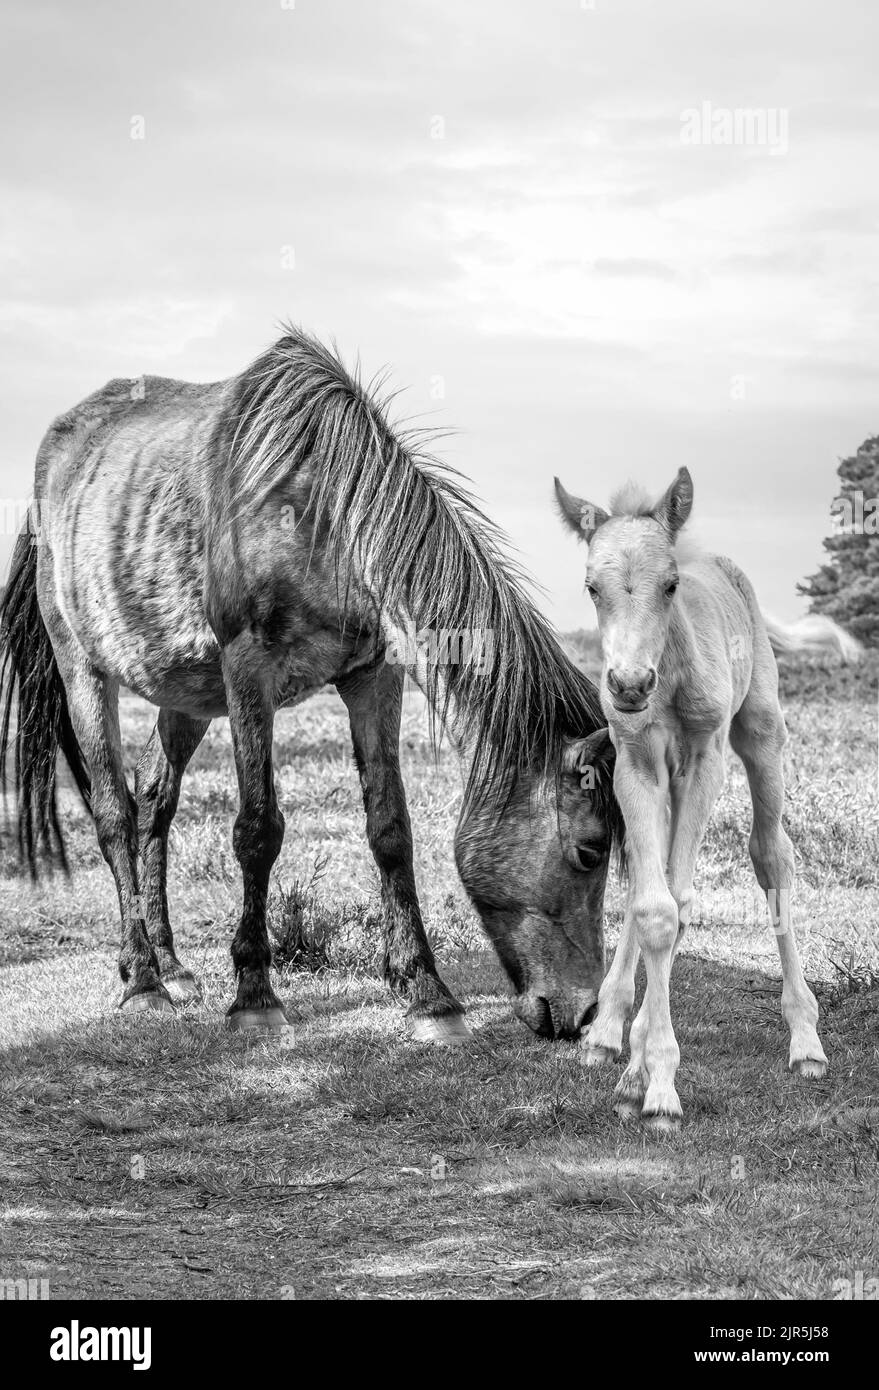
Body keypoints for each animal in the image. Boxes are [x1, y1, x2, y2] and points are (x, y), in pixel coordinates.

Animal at [556, 467, 856, 1128]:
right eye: (591, 587)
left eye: (670, 586)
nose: (629, 685)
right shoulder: (636, 763)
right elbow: (653, 906)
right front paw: (632, 1066)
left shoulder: (705, 761)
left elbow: (682, 901)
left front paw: (656, 1083)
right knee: (654, 879)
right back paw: (608, 1033)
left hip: (762, 732)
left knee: (772, 855)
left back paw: (806, 1042)